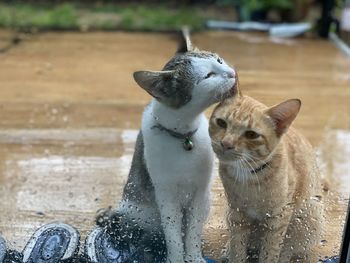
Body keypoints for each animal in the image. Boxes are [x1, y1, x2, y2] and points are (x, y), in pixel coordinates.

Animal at [97, 29, 237, 262]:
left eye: (219, 60)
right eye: (208, 76)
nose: (233, 72)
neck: (184, 135)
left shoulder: (200, 194)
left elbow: (192, 232)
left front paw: (194, 256)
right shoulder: (166, 195)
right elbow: (172, 234)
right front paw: (177, 257)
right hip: (137, 213)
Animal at [209, 94, 324, 262]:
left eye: (251, 135)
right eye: (221, 123)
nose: (226, 143)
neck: (249, 175)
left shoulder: (279, 217)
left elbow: (271, 250)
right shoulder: (237, 213)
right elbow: (238, 247)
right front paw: (234, 253)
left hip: (309, 216)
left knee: (290, 248)